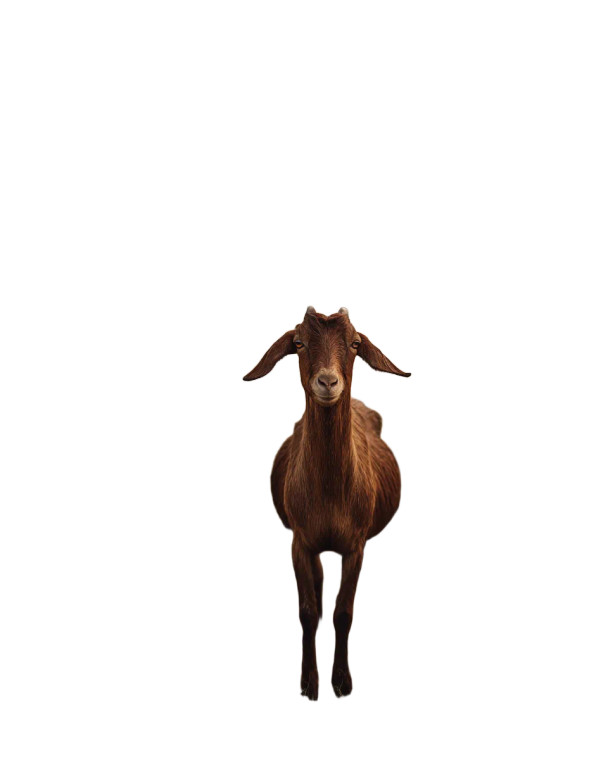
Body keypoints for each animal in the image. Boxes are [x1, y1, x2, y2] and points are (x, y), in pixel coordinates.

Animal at [243, 306, 410, 699]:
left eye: (355, 344)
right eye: (298, 343)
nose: (328, 382)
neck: (332, 497)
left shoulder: (356, 545)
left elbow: (343, 613)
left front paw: (342, 681)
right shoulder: (300, 541)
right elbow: (307, 612)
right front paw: (309, 682)